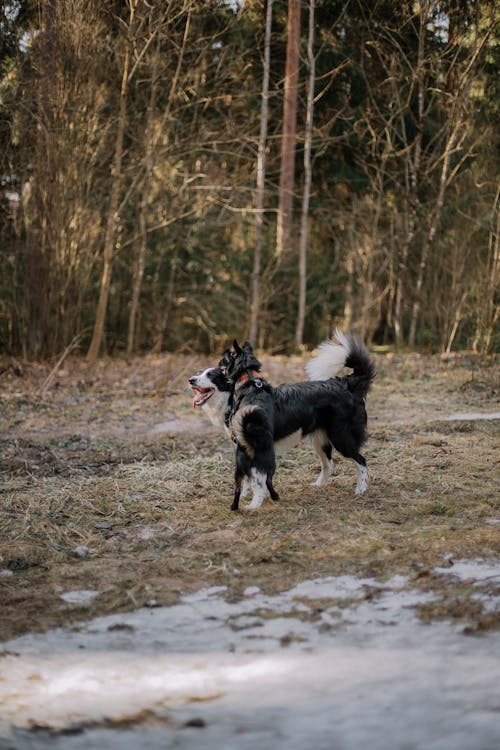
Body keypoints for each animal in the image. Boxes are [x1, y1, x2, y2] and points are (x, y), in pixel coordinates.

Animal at [188, 330, 376, 512]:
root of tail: (347, 384)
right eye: (199, 373)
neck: (248, 385)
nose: (191, 380)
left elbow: (257, 480)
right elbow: (247, 478)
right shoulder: (243, 448)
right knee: (327, 463)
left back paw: (361, 489)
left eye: (215, 372)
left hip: (341, 437)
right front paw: (245, 496)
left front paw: (254, 503)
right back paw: (319, 484)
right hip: (319, 440)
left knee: (361, 460)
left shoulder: (257, 447)